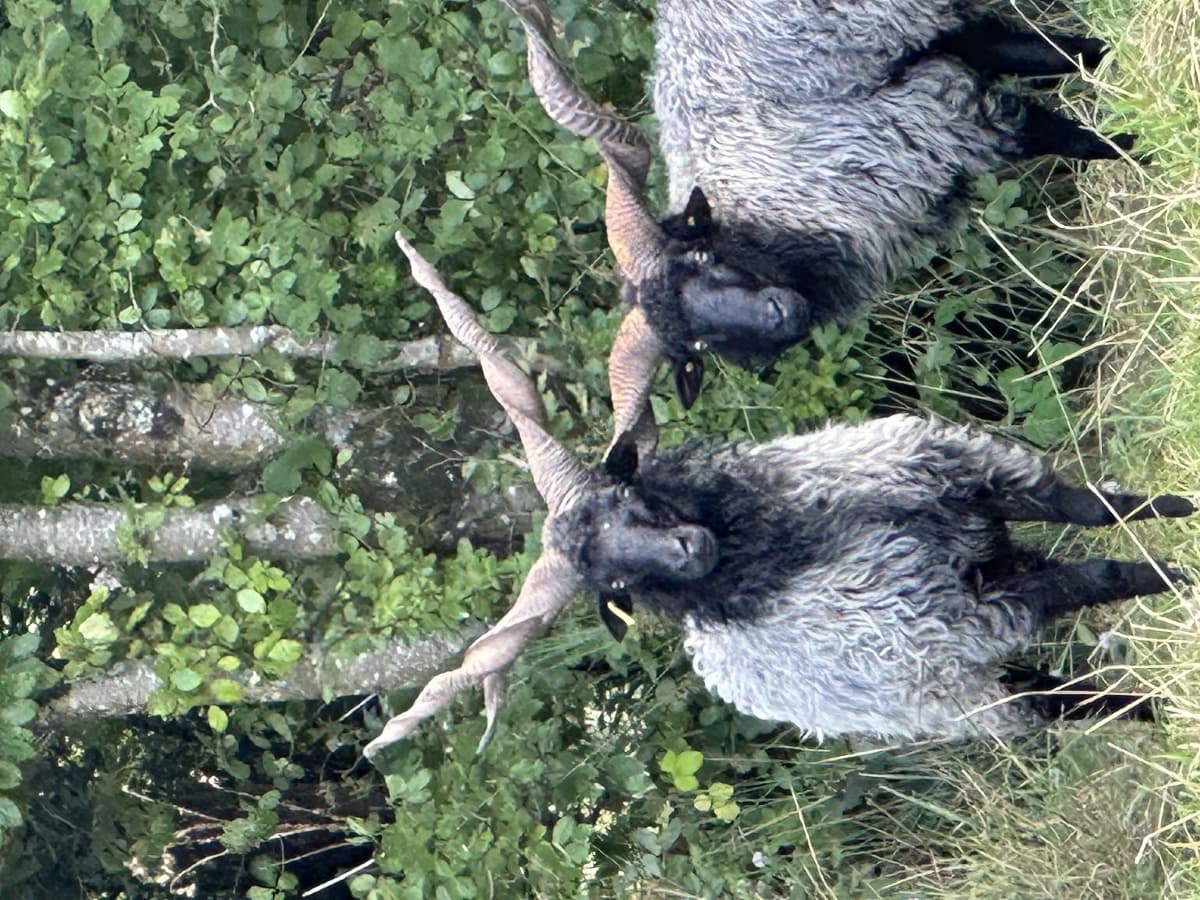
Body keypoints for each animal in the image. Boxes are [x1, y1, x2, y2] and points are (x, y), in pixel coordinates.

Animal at [362, 232, 1191, 758]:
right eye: (613, 582)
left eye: (626, 499)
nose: (688, 547)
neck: (799, 544)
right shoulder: (967, 611)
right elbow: (1094, 575)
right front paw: (1180, 582)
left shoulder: (958, 472)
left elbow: (1083, 510)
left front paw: (1177, 517)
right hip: (963, 694)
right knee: (1065, 701)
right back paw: (1152, 712)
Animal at [498, 0, 1133, 433]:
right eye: (695, 349)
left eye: (702, 256)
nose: (781, 314)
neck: (764, 206)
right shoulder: (941, 59)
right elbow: (1045, 54)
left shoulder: (926, 122)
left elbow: (1072, 138)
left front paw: (1138, 153)